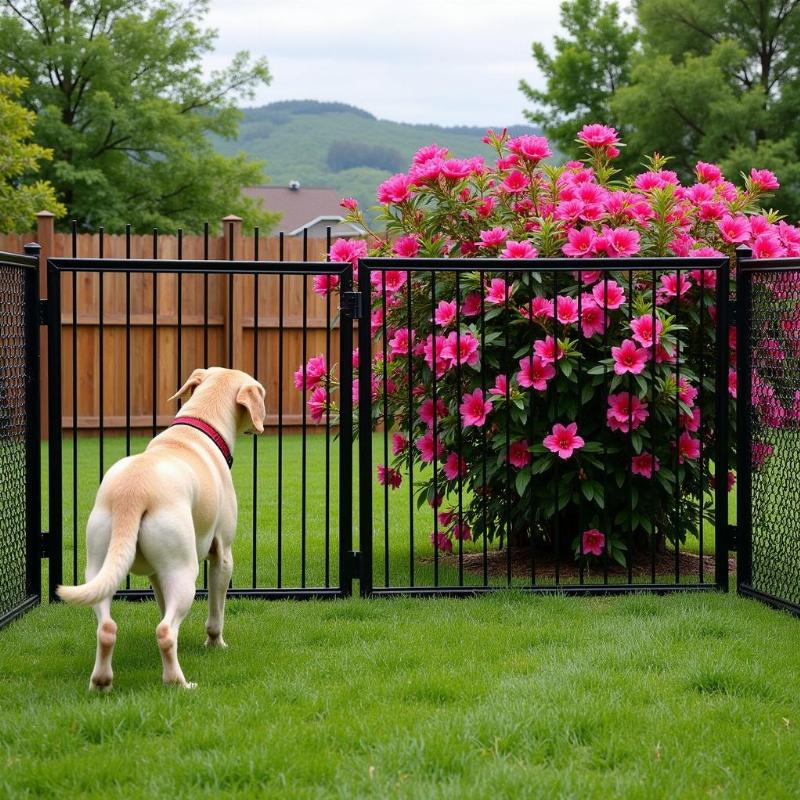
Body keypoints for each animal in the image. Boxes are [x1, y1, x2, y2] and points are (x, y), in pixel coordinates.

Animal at [57, 368, 268, 688]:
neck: (199, 425)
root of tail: (132, 493)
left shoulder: (157, 574)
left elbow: (161, 603)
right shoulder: (222, 556)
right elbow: (215, 614)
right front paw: (215, 644)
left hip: (98, 568)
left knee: (106, 627)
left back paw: (101, 681)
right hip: (184, 571)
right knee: (165, 631)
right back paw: (178, 682)